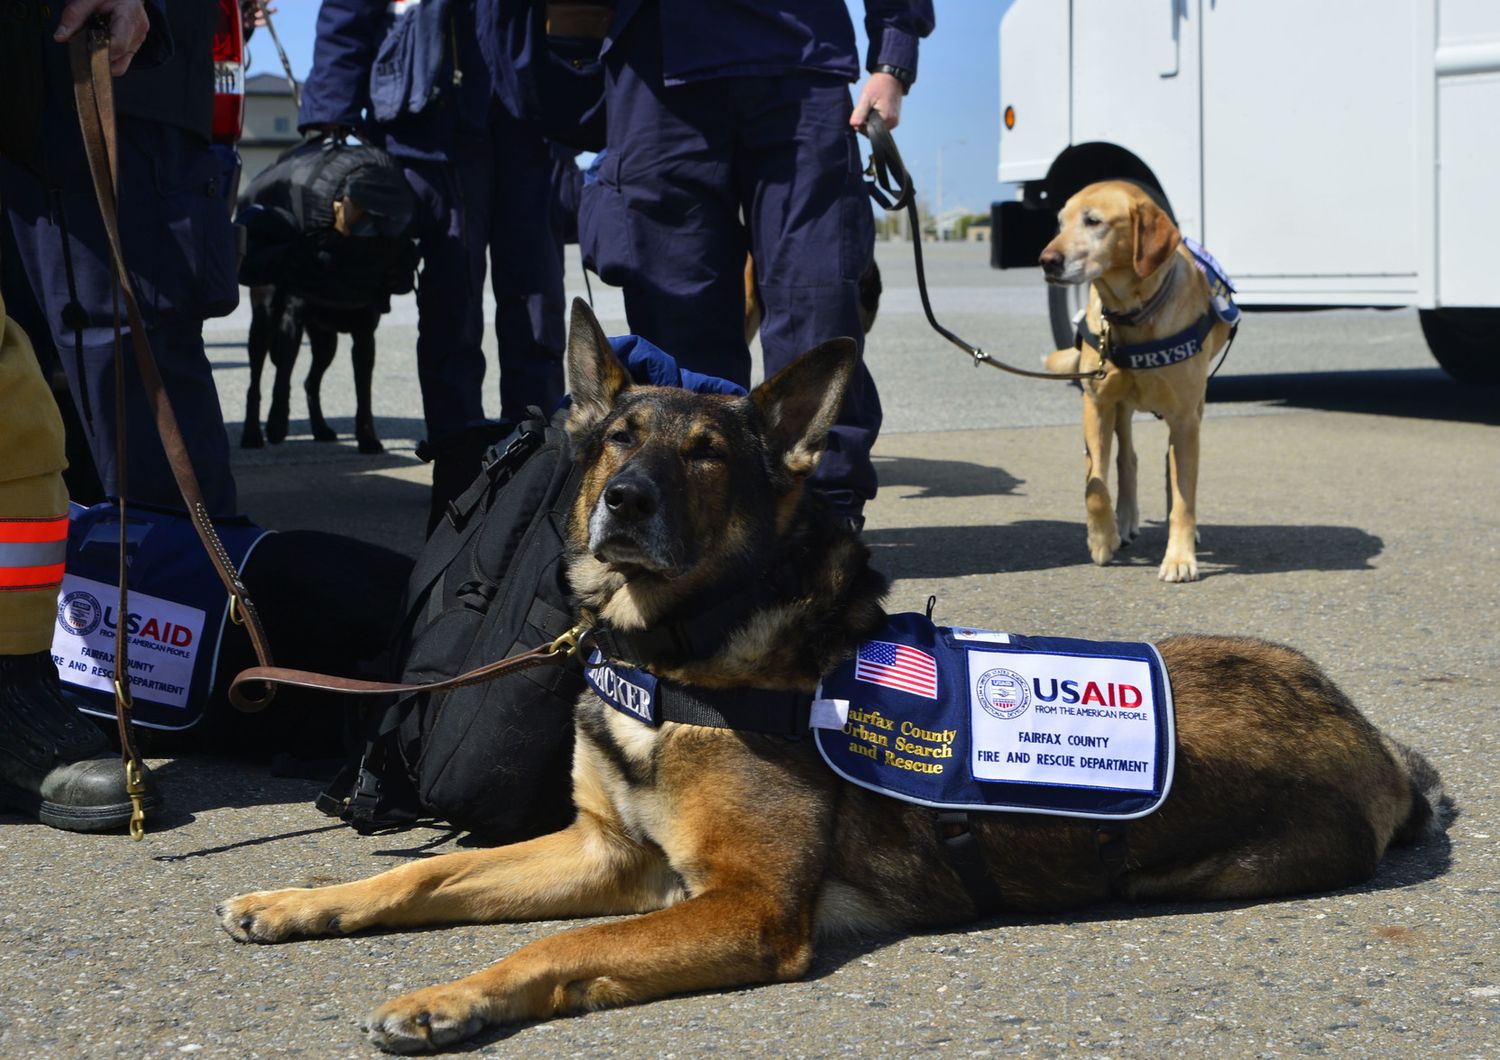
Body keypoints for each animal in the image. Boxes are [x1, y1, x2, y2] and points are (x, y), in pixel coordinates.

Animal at [214, 298, 1440, 1055]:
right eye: (616, 439)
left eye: (707, 454)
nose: (628, 504)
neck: (680, 655)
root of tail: (1375, 737)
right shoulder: (603, 852)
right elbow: (425, 876)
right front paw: (300, 902)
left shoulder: (743, 906)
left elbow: (557, 945)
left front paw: (445, 997)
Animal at [1038, 180, 1236, 581]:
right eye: (1061, 222)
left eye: (1093, 221)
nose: (1047, 260)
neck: (1133, 314)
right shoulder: (1096, 403)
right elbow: (1095, 484)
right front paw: (1102, 540)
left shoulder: (1185, 417)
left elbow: (1183, 497)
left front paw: (1179, 558)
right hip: (1122, 406)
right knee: (1127, 458)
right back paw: (1125, 520)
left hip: (1193, 408)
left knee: (1170, 466)